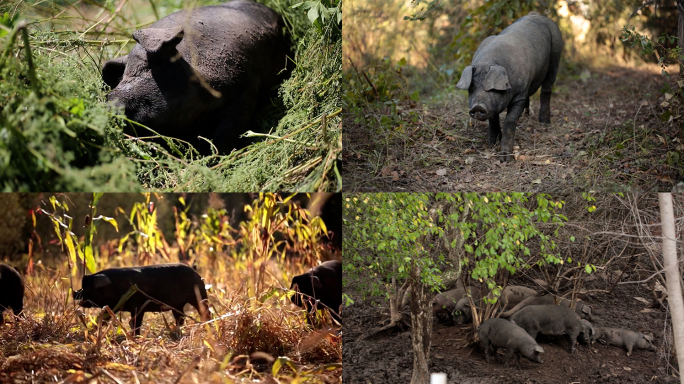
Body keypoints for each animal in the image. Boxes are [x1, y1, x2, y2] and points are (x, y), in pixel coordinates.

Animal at [73, 264, 208, 336]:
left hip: (200, 297)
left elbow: (137, 323)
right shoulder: (112, 307)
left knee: (205, 311)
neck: (116, 286)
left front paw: (136, 336)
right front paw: (93, 330)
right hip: (178, 305)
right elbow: (104, 318)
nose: (75, 292)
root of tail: (197, 273)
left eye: (88, 288)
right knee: (181, 318)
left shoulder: (138, 307)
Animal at [456, 12, 564, 161]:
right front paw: (492, 145)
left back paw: (544, 122)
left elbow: (509, 121)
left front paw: (505, 158)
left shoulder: (519, 95)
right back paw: (526, 116)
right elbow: (493, 121)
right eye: (472, 87)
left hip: (556, 55)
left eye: (491, 89)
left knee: (546, 91)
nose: (478, 106)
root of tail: (537, 15)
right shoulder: (493, 106)